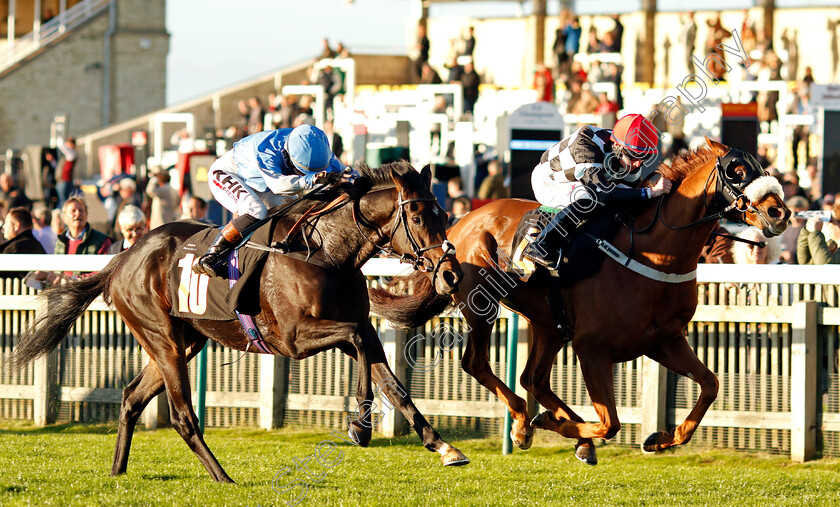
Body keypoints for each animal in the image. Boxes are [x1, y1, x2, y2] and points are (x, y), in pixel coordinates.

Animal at [13, 161, 470, 482]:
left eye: (444, 214)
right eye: (417, 218)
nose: (451, 275)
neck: (326, 252)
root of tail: (123, 257)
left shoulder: (356, 331)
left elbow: (393, 384)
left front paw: (443, 447)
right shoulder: (294, 339)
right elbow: (358, 342)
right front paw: (360, 426)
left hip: (185, 341)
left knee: (130, 398)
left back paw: (117, 472)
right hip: (162, 338)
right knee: (181, 416)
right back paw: (223, 477)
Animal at [370, 139, 792, 464]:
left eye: (762, 165)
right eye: (737, 170)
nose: (780, 212)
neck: (658, 254)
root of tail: (457, 225)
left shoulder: (663, 341)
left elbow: (711, 384)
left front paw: (659, 439)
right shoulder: (592, 349)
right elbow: (611, 421)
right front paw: (551, 424)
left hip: (547, 322)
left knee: (533, 378)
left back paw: (563, 433)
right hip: (481, 305)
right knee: (478, 364)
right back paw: (526, 422)